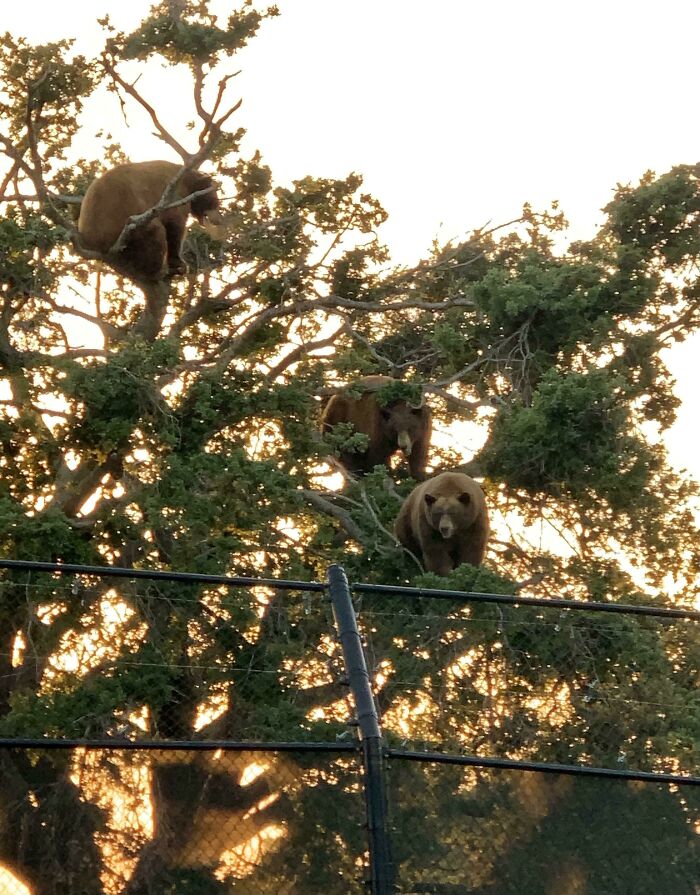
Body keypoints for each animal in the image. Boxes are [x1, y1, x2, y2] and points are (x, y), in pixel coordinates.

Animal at [77, 160, 222, 281]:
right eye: (215, 202)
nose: (218, 220)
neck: (188, 182)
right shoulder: (174, 197)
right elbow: (175, 227)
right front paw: (179, 264)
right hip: (122, 221)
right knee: (155, 231)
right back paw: (156, 269)